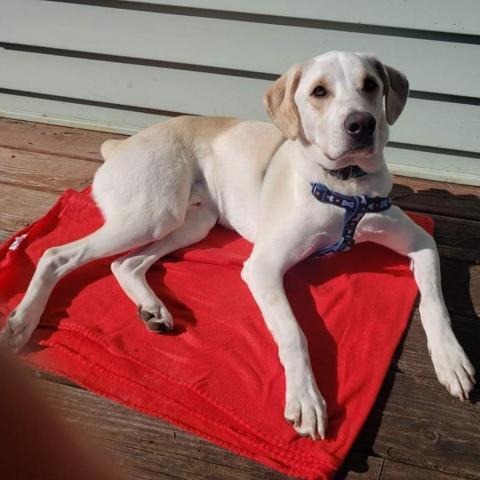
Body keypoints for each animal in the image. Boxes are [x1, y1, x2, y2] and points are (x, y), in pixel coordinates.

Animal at [0, 51, 474, 438]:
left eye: (371, 85)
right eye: (319, 92)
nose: (361, 125)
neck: (345, 185)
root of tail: (121, 143)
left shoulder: (422, 241)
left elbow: (435, 302)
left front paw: (451, 359)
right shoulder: (262, 266)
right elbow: (293, 332)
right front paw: (306, 397)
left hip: (193, 222)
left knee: (126, 264)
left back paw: (152, 309)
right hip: (153, 212)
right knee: (56, 254)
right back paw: (22, 323)